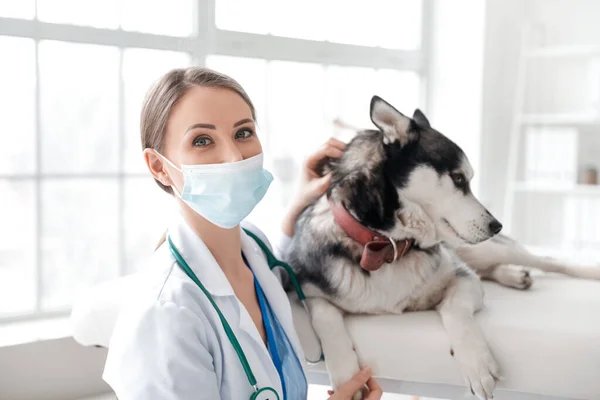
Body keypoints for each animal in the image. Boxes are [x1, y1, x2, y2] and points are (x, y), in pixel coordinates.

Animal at [284, 97, 600, 400]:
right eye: (459, 178)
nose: (496, 225)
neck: (388, 245)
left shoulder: (462, 278)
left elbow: (453, 306)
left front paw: (477, 364)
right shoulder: (305, 290)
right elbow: (325, 315)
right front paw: (347, 377)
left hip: (487, 250)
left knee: (546, 260)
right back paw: (514, 275)